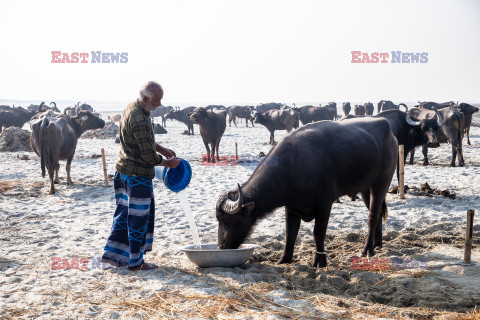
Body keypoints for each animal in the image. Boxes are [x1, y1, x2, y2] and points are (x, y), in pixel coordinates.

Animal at [217, 117, 398, 268]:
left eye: (225, 220)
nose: (221, 246)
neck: (293, 166)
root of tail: (389, 130)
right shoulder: (291, 207)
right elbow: (290, 234)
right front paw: (285, 259)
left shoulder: (324, 204)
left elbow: (318, 233)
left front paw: (320, 261)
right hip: (365, 188)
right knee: (378, 213)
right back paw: (377, 244)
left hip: (382, 181)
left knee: (372, 216)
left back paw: (367, 249)